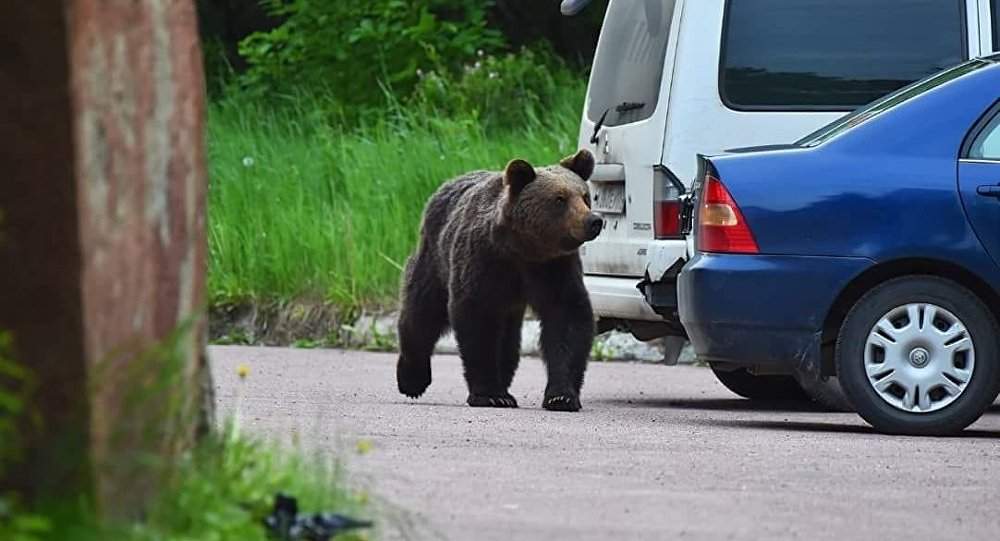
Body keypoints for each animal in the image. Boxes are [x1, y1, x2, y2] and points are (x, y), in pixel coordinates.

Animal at [396, 148, 600, 410]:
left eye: (585, 196)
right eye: (560, 199)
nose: (594, 221)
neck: (522, 249)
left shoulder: (553, 269)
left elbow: (568, 320)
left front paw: (561, 396)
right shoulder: (484, 262)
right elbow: (477, 321)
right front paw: (489, 394)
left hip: (508, 302)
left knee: (507, 340)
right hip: (435, 258)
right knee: (422, 313)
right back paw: (411, 380)